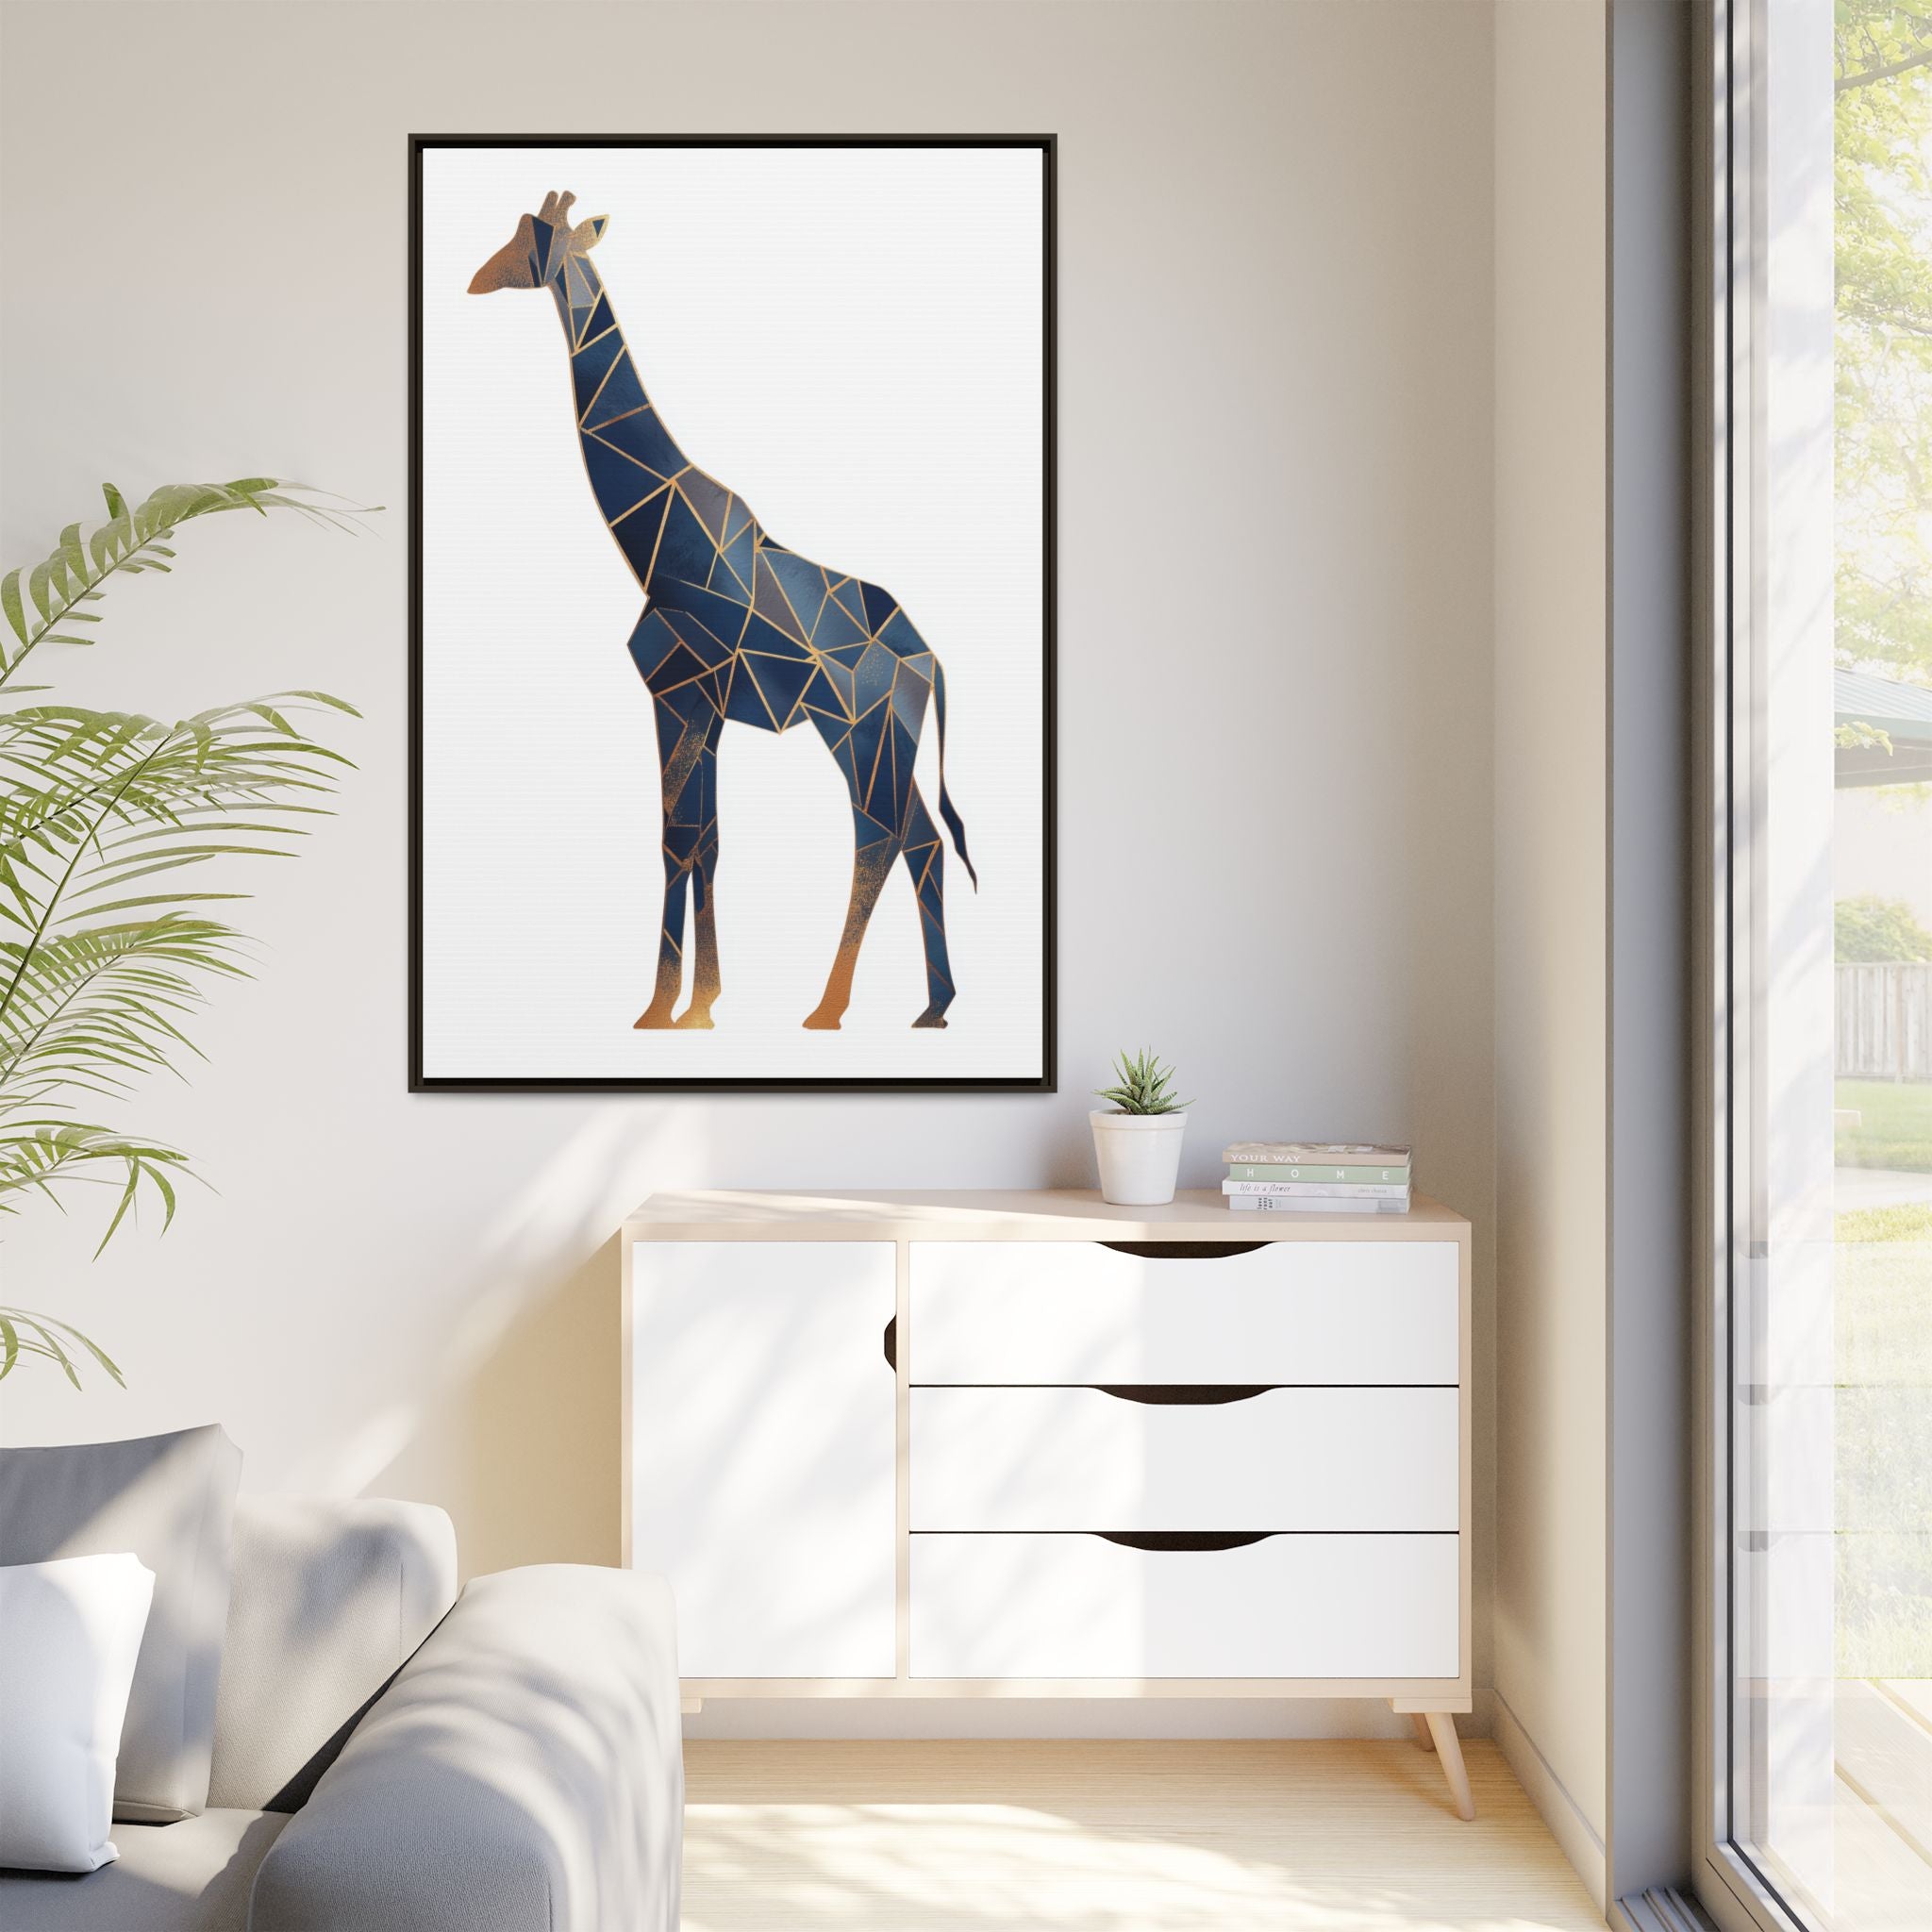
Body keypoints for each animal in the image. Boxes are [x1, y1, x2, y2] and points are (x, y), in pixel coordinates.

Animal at [469, 190, 974, 1032]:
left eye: (533, 241)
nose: (478, 278)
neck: (657, 542)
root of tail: (929, 660)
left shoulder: (680, 693)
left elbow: (680, 841)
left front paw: (670, 1007)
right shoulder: (698, 706)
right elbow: (701, 841)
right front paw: (692, 1004)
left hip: (858, 730)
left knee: (879, 837)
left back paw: (829, 1009)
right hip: (884, 737)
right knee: (922, 841)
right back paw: (933, 1007)